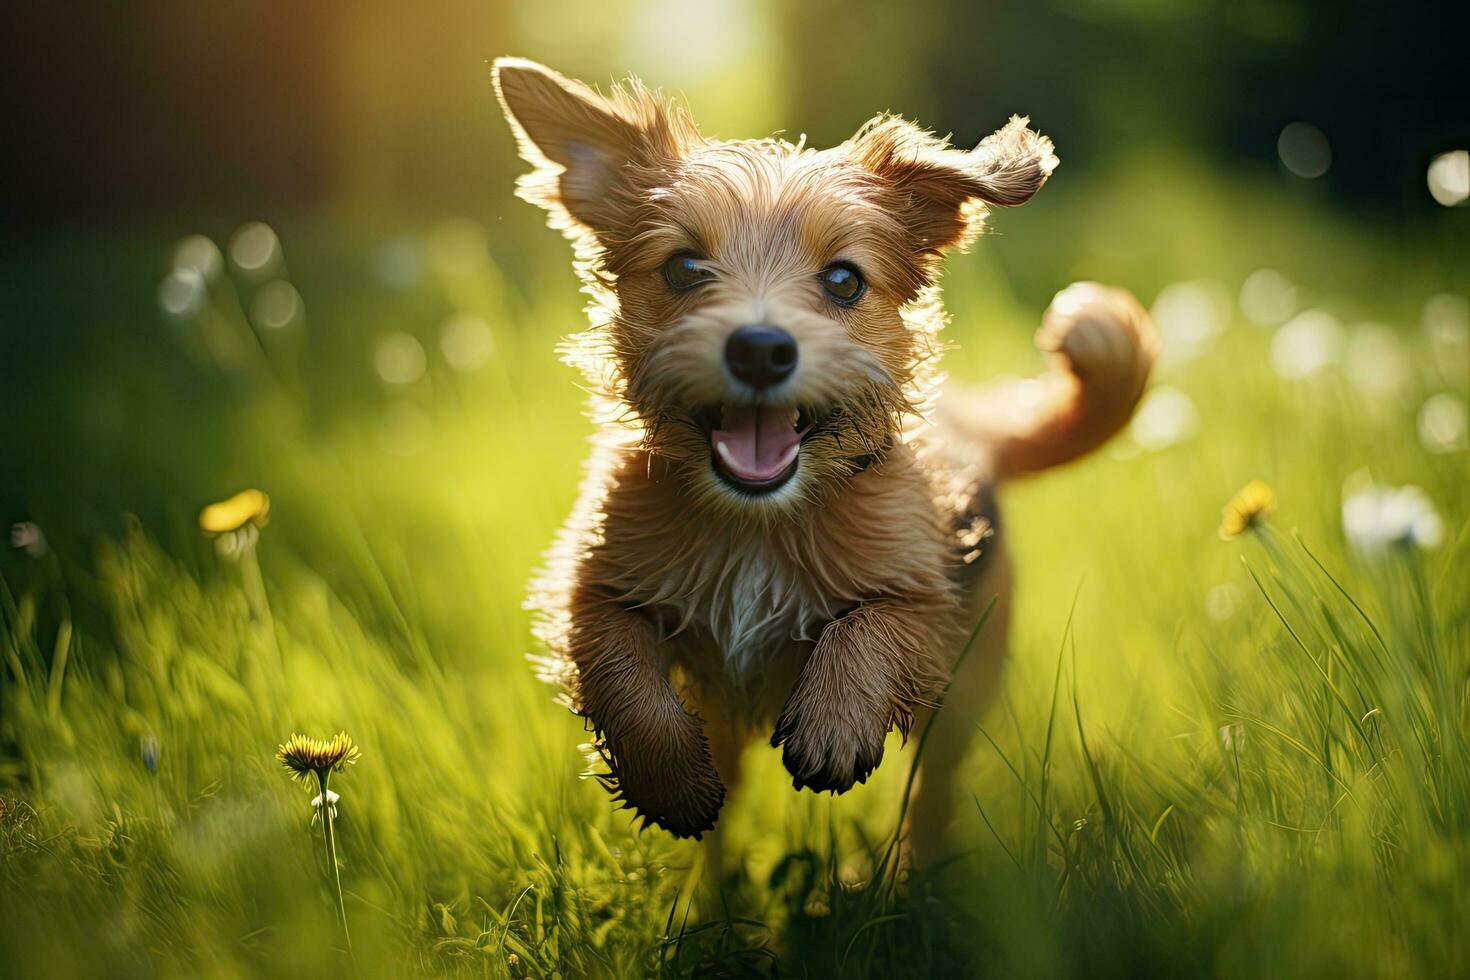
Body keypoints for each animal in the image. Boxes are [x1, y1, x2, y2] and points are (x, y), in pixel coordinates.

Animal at [493, 57, 1158, 863]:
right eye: (682, 268)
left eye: (844, 280)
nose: (759, 349)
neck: (755, 523)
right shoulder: (588, 585)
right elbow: (621, 671)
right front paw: (670, 781)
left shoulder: (930, 596)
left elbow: (872, 624)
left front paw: (836, 719)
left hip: (961, 699)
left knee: (929, 793)